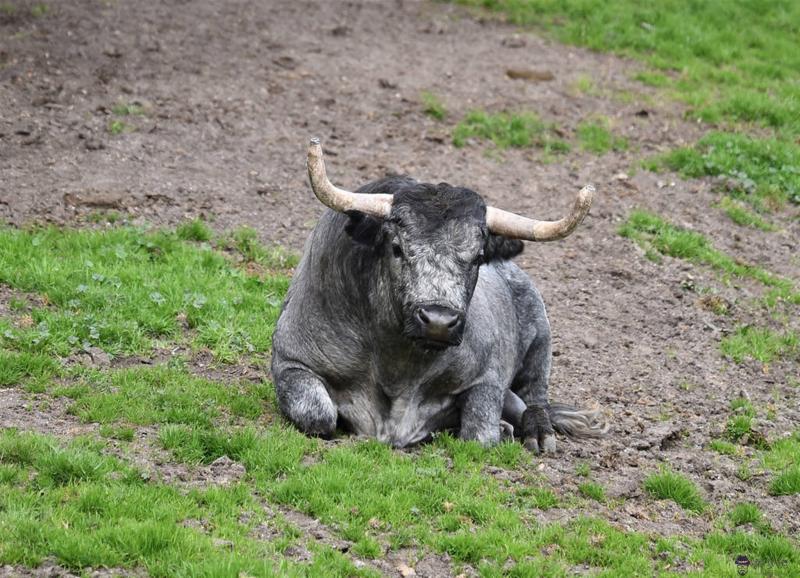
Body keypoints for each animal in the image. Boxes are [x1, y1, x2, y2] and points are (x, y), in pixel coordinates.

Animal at [270, 138, 608, 450]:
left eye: (478, 257)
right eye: (396, 248)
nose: (438, 321)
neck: (398, 367)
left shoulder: (487, 378)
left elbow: (479, 435)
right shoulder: (290, 362)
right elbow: (318, 415)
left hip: (541, 343)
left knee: (535, 397)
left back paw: (537, 432)